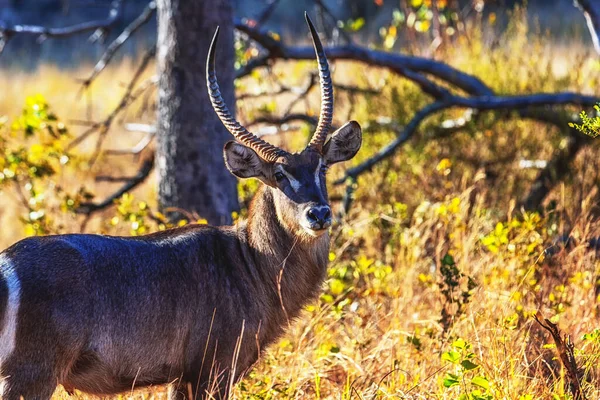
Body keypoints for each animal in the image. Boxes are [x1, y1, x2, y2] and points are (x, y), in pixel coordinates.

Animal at [0, 14, 360, 398]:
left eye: (322, 167)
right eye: (279, 175)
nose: (318, 213)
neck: (251, 261)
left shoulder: (181, 376)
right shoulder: (213, 368)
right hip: (32, 373)